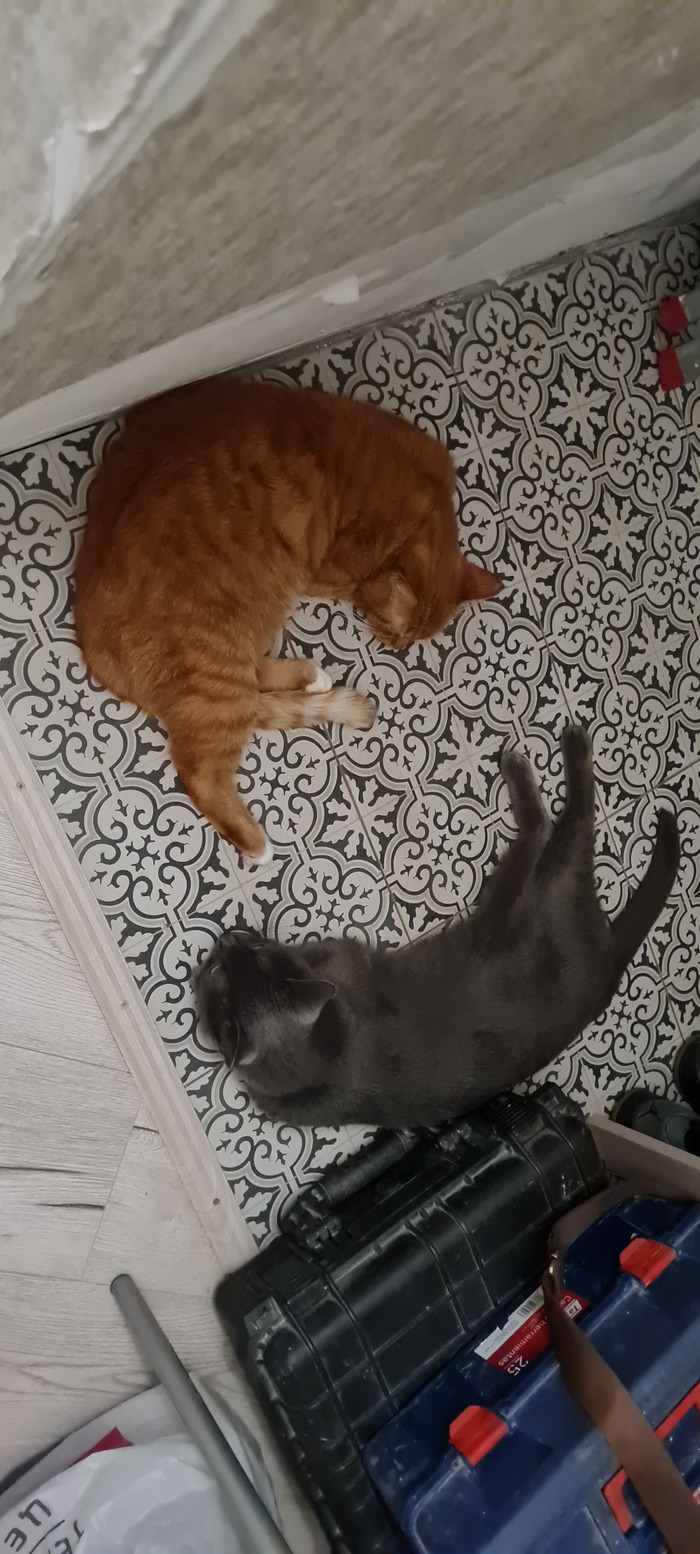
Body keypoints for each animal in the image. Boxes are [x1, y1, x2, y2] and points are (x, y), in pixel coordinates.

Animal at [74, 378, 500, 858]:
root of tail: (92, 648)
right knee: (199, 767)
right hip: (217, 667)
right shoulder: (326, 574)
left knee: (257, 685)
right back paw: (257, 846)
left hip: (244, 643)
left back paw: (313, 677)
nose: (392, 645)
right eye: (393, 631)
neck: (423, 501)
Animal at [195, 725, 680, 1128]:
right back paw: (526, 764)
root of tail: (607, 970)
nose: (227, 938)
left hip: (544, 887)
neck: (327, 1060)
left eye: (256, 955)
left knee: (575, 818)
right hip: (511, 894)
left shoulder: (338, 955)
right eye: (223, 969)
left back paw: (562, 747)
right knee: (542, 830)